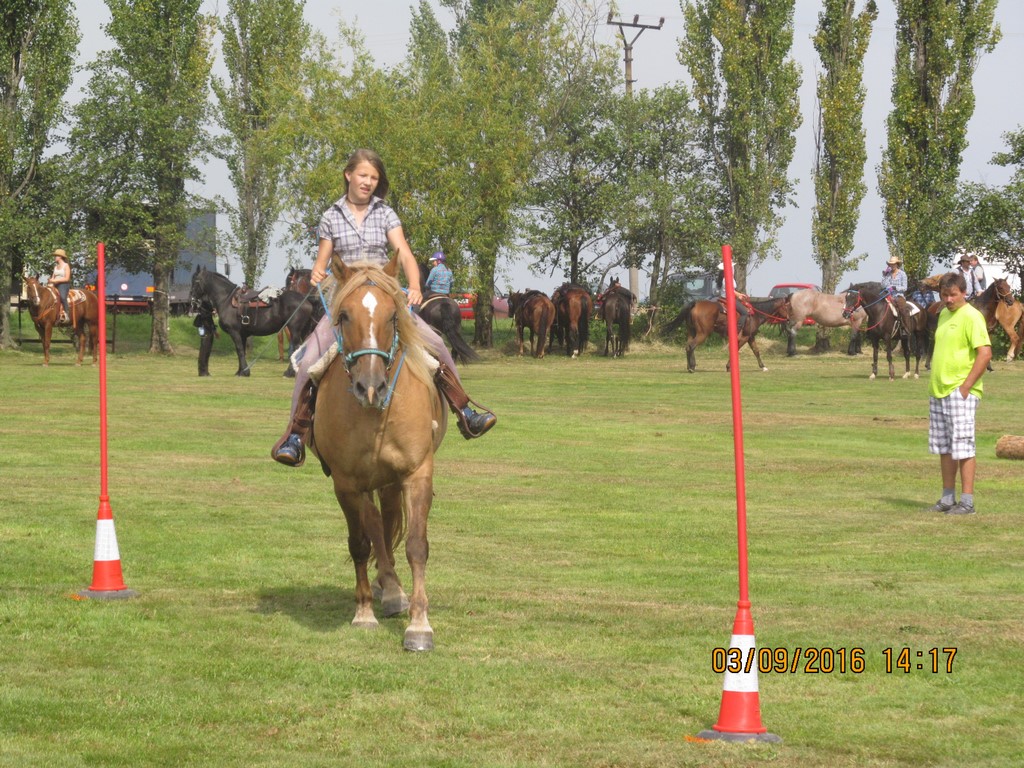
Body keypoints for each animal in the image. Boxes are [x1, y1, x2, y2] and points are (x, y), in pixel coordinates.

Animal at [307, 256, 446, 652]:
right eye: (344, 316)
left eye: (392, 315)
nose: (370, 387)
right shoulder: (346, 484)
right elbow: (359, 543)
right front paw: (364, 612)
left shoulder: (416, 473)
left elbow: (416, 545)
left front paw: (419, 625)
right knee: (374, 528)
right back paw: (389, 590)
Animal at [662, 296, 790, 373]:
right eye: (787, 306)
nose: (789, 319)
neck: (755, 314)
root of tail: (695, 304)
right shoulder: (744, 337)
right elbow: (736, 350)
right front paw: (729, 367)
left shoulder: (750, 337)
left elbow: (756, 351)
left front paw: (763, 366)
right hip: (703, 333)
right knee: (692, 346)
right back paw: (692, 367)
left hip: (691, 331)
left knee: (688, 346)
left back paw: (690, 366)